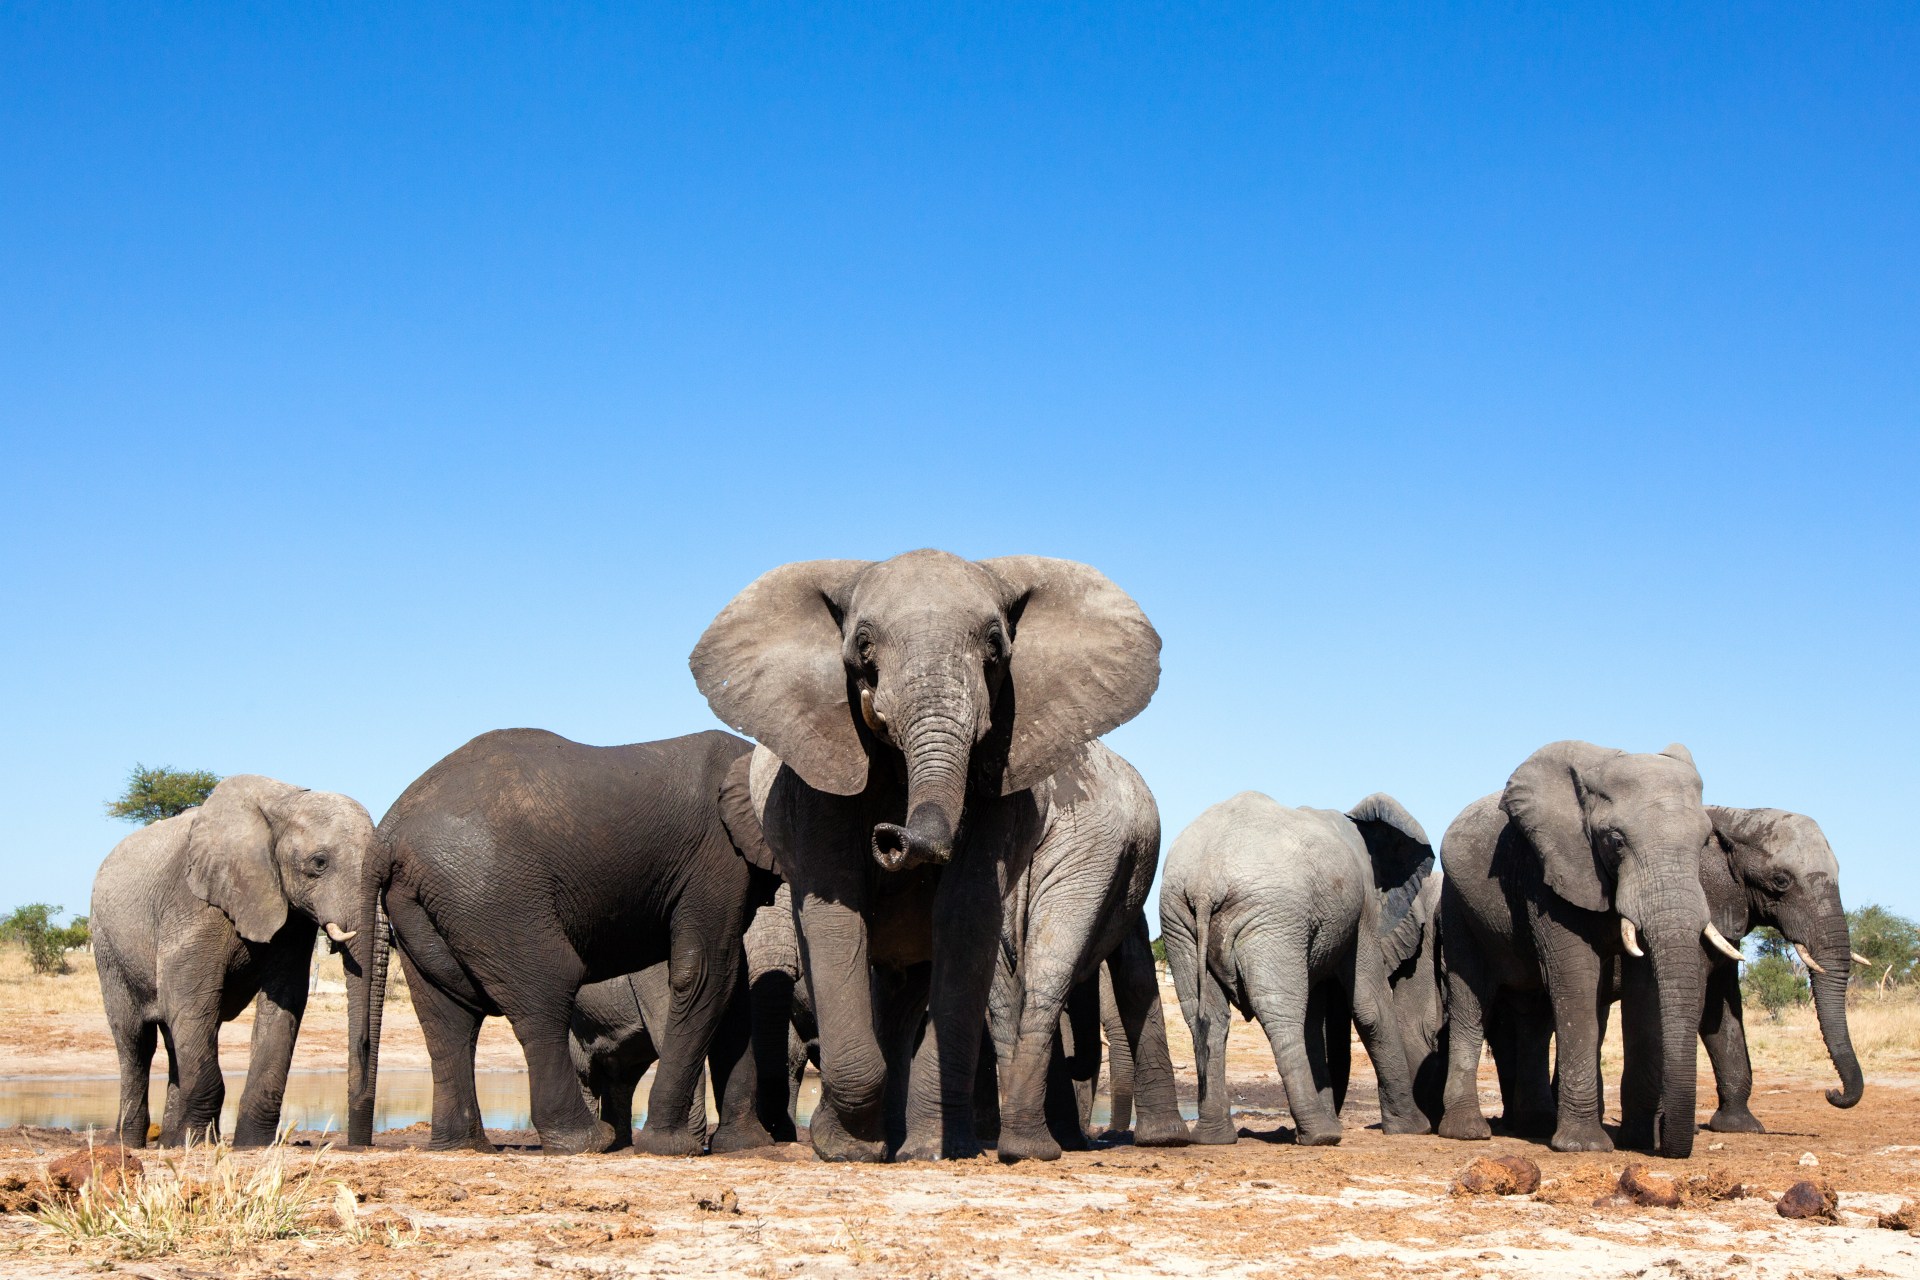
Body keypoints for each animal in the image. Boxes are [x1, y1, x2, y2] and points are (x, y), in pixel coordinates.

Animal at [90, 775, 377, 1147]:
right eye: (319, 863)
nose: (358, 1142)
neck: (283, 803)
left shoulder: (290, 915)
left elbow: (284, 1000)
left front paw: (251, 1144)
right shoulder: (192, 902)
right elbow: (190, 997)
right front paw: (198, 1142)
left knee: (175, 1036)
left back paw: (171, 1141)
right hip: (106, 944)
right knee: (136, 1040)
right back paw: (131, 1143)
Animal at [363, 728, 777, 1155]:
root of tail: (387, 835)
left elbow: (733, 985)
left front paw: (746, 1145)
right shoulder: (718, 857)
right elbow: (705, 973)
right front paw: (671, 1146)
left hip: (425, 903)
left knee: (446, 1016)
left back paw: (465, 1146)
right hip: (490, 893)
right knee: (545, 992)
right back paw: (589, 1141)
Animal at [690, 550, 1164, 1162]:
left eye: (996, 646)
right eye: (863, 645)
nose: (891, 838)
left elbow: (965, 916)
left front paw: (930, 1150)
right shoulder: (816, 774)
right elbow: (837, 915)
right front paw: (848, 1149)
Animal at [1159, 791, 1434, 1146]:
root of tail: (1206, 882)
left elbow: (1314, 1019)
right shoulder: (1363, 911)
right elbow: (1369, 1007)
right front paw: (1415, 1128)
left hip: (1180, 919)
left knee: (1205, 1015)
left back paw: (1214, 1137)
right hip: (1271, 916)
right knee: (1280, 1010)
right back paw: (1321, 1136)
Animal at [1438, 740, 1718, 1158]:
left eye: (1705, 842)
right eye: (1616, 841)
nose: (1669, 1141)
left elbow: (1643, 994)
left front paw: (1638, 1142)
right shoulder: (1550, 873)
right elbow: (1577, 982)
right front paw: (1584, 1147)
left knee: (1534, 1017)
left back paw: (1536, 1125)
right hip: (1457, 907)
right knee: (1470, 1000)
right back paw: (1467, 1132)